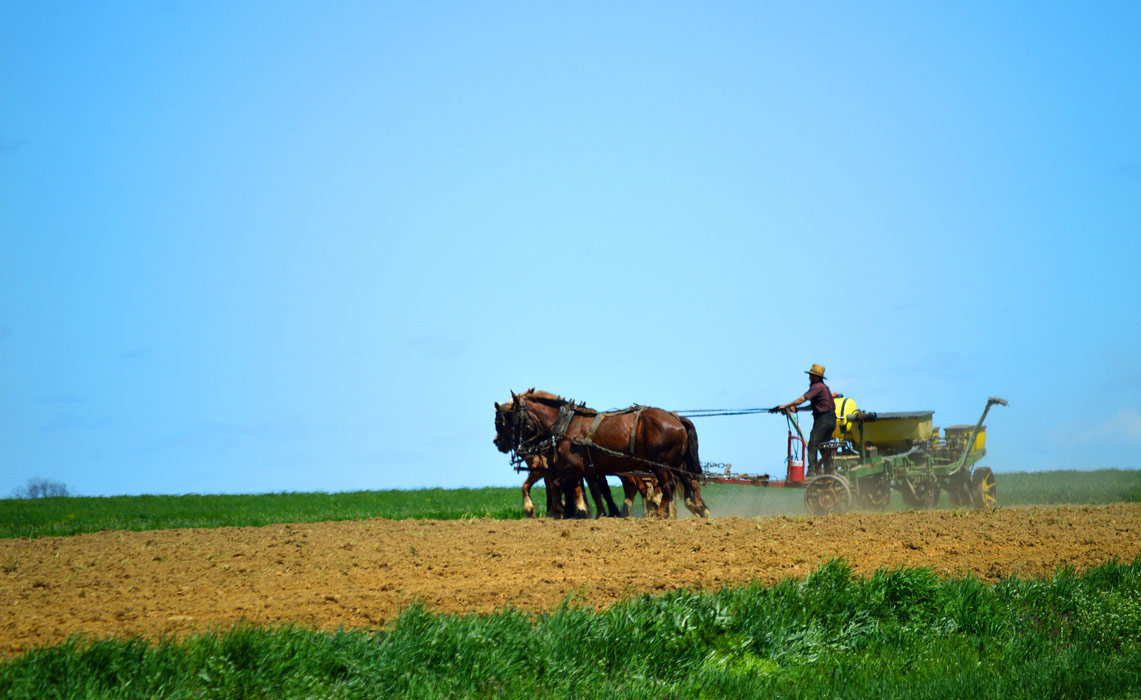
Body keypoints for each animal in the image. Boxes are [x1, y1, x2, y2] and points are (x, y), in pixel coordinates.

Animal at [495, 388, 707, 518]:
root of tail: (676, 418)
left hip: (661, 465)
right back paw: (700, 509)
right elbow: (597, 491)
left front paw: (558, 510)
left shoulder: (572, 468)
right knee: (691, 482)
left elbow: (557, 485)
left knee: (668, 486)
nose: (498, 443)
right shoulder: (590, 469)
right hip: (676, 464)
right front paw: (601, 514)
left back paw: (661, 513)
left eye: (505, 419)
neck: (567, 425)